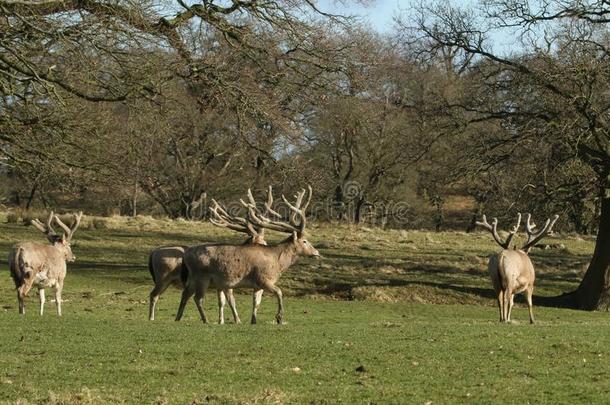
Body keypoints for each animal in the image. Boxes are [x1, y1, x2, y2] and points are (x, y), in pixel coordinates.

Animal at [148, 187, 276, 322]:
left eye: (265, 242)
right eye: (258, 243)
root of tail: (153, 253)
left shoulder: (220, 285)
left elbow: (221, 302)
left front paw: (221, 321)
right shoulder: (228, 282)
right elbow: (231, 301)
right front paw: (237, 320)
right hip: (163, 277)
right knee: (154, 295)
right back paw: (151, 318)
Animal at [176, 186, 318, 326]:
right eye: (305, 241)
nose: (316, 252)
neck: (278, 264)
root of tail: (186, 255)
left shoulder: (257, 286)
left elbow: (256, 303)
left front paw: (253, 320)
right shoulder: (263, 279)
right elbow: (279, 291)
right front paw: (279, 318)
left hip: (193, 278)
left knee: (185, 294)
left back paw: (178, 318)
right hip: (202, 277)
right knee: (197, 298)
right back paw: (205, 320)